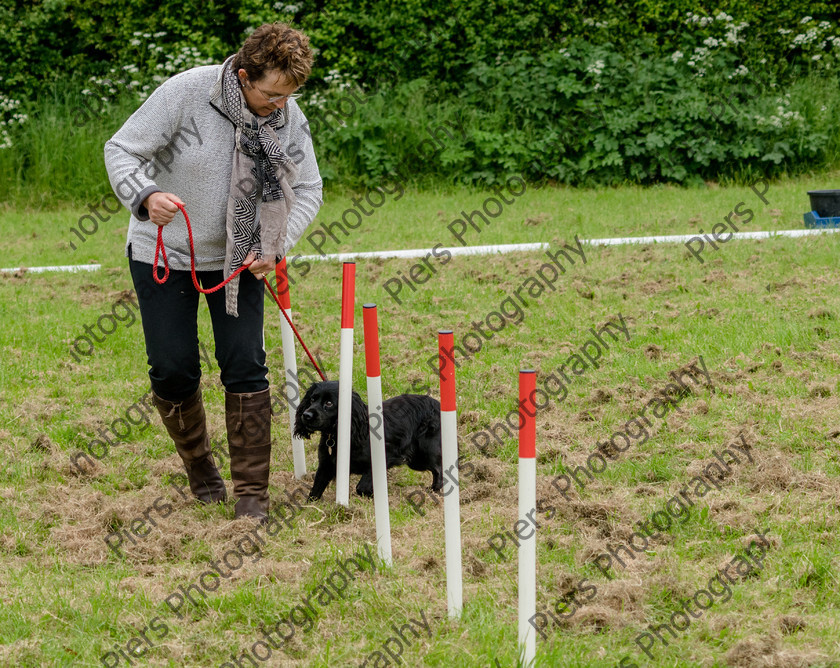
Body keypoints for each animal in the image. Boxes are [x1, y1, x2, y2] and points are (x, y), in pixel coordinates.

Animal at [294, 380, 442, 500]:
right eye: (312, 399)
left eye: (329, 403)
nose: (306, 415)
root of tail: (436, 403)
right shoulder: (326, 465)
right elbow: (315, 491)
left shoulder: (383, 458)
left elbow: (361, 487)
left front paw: (372, 495)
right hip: (416, 460)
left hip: (425, 453)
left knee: (439, 470)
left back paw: (434, 491)